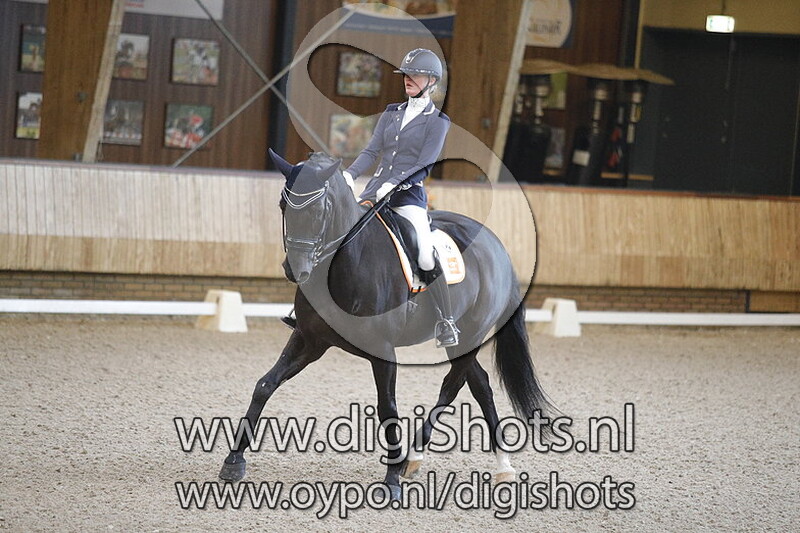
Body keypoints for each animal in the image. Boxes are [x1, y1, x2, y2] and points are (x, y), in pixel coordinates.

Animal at [219, 150, 554, 500]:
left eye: (320, 209)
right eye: (282, 206)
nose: (294, 269)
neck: (346, 263)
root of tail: (498, 248)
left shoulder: (382, 351)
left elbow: (388, 408)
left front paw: (391, 480)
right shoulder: (310, 340)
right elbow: (265, 384)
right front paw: (234, 461)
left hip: (471, 334)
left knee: (451, 387)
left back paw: (412, 458)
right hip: (462, 341)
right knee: (480, 385)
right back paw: (502, 466)